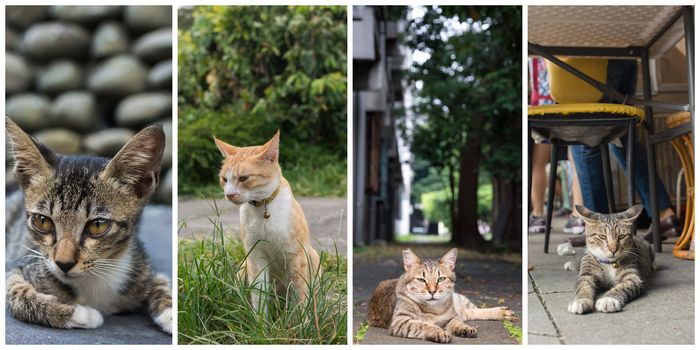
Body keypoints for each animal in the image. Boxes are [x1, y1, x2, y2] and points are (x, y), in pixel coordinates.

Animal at [5, 118, 172, 334]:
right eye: (42, 221)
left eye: (98, 225)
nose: (64, 263)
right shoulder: (16, 267)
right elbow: (17, 294)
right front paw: (81, 314)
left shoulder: (144, 267)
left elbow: (162, 282)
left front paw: (172, 314)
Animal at [215, 132, 322, 312]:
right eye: (224, 179)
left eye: (243, 178)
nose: (229, 194)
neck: (263, 206)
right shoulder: (255, 257)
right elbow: (258, 295)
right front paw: (259, 320)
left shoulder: (296, 256)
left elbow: (300, 296)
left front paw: (301, 319)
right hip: (243, 268)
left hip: (312, 257)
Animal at [370, 247, 516, 344]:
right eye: (421, 280)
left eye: (440, 279)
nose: (432, 291)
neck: (434, 309)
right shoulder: (400, 321)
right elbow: (423, 325)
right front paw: (439, 331)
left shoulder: (452, 316)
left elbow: (457, 322)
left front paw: (463, 328)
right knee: (469, 313)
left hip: (459, 299)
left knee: (473, 310)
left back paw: (502, 312)